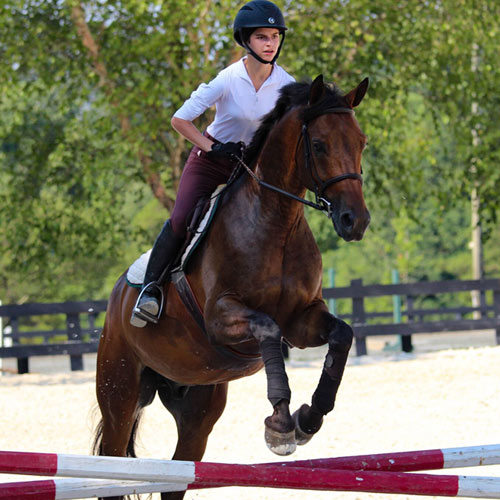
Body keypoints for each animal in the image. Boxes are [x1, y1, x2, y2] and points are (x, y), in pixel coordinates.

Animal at [94, 75, 372, 500]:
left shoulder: (302, 321)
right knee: (112, 458)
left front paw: (307, 418)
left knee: (179, 472)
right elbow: (267, 328)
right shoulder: (221, 319)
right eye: (320, 144)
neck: (275, 222)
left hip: (197, 408)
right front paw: (280, 425)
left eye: (361, 142)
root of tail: (115, 302)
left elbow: (341, 335)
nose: (354, 221)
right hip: (120, 391)